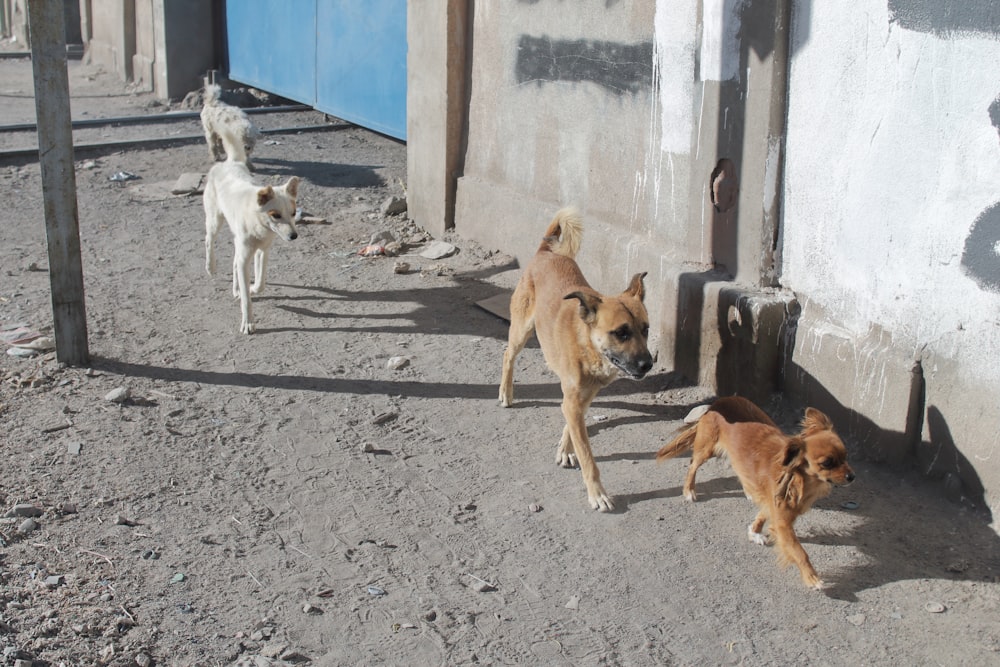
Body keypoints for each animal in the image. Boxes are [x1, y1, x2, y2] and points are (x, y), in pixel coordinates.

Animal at [201, 159, 298, 334]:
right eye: (276, 215)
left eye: (294, 213)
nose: (294, 236)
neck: (258, 222)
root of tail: (226, 162)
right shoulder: (245, 259)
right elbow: (246, 299)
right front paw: (248, 323)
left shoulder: (262, 251)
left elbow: (260, 284)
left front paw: (251, 288)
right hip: (214, 221)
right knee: (208, 240)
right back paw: (210, 267)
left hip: (238, 241)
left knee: (234, 262)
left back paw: (236, 289)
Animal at [500, 209, 656, 512]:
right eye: (621, 332)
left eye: (645, 329)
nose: (647, 364)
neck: (588, 346)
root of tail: (545, 252)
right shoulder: (573, 399)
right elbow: (588, 457)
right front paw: (597, 494)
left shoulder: (580, 398)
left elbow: (571, 424)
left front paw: (565, 449)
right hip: (521, 330)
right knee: (507, 355)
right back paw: (506, 392)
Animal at [656, 396, 860, 588]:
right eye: (827, 463)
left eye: (846, 457)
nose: (852, 476)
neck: (798, 478)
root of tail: (718, 403)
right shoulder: (783, 523)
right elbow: (798, 551)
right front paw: (811, 577)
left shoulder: (774, 503)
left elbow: (762, 514)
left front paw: (754, 532)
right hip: (706, 449)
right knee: (692, 465)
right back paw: (689, 490)